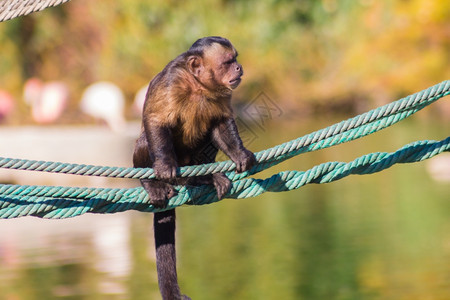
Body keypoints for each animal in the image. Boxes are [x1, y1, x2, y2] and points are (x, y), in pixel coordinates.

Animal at [132, 36, 255, 298]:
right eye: (228, 62)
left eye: (235, 59)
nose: (239, 68)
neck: (199, 86)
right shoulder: (172, 81)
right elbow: (157, 120)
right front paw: (165, 165)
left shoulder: (222, 93)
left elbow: (220, 123)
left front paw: (239, 153)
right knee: (147, 138)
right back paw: (152, 183)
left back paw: (203, 178)